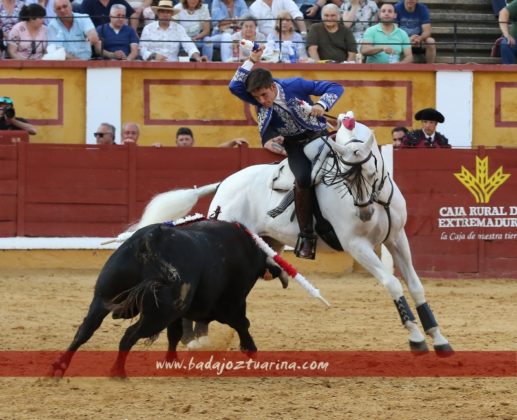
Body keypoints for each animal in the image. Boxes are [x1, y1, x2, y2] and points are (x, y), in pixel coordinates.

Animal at [52, 221, 282, 376]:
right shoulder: (231, 304)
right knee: (128, 336)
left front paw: (171, 362)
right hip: (159, 314)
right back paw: (117, 373)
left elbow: (175, 334)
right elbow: (242, 323)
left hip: (103, 298)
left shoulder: (179, 314)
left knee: (84, 331)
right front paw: (250, 350)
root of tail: (151, 238)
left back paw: (59, 368)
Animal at [122, 111, 452, 354]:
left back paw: (199, 338)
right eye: (344, 175)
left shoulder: (397, 238)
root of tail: (224, 184)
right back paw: (196, 339)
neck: (375, 199)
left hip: (264, 247)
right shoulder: (356, 244)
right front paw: (416, 339)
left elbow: (416, 285)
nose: (365, 213)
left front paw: (439, 339)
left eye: (370, 167)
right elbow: (393, 284)